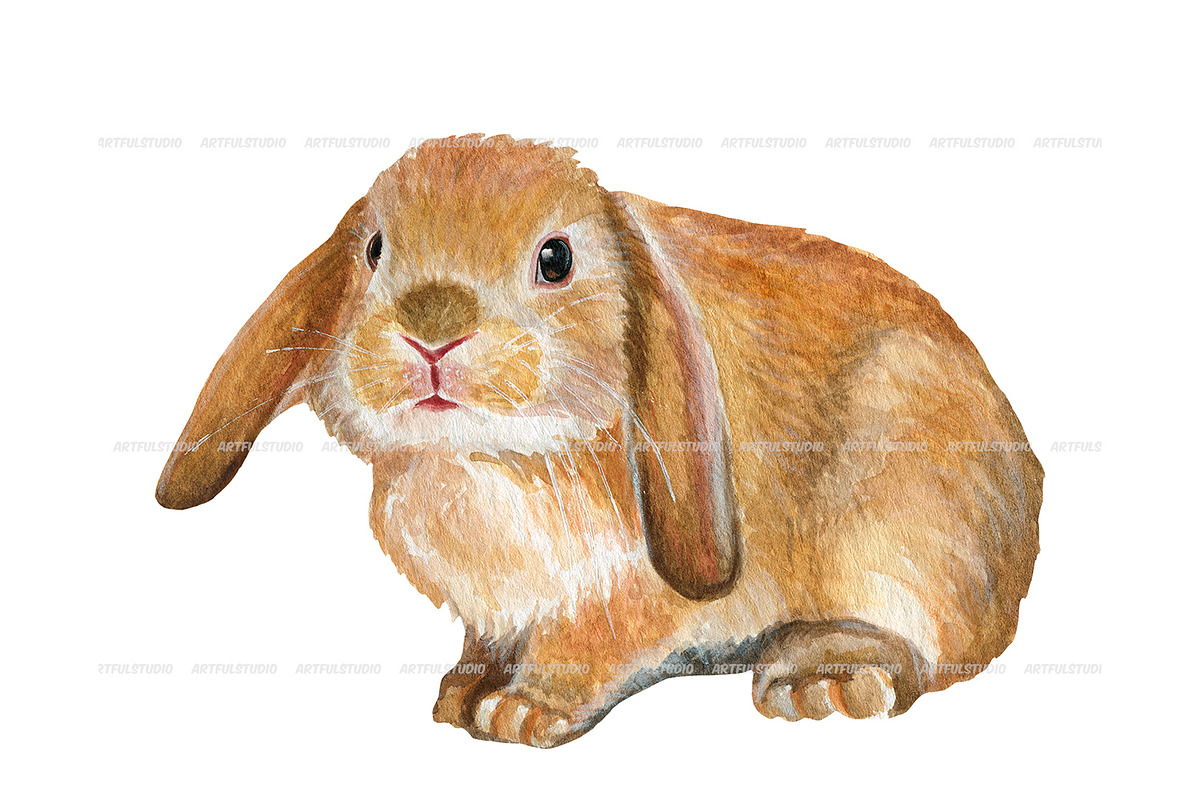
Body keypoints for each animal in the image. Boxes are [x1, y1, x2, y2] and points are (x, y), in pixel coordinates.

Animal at [157, 133, 1042, 747]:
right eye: (375, 251)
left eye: (556, 258)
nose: (432, 331)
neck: (491, 459)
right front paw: (459, 693)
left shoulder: (624, 590)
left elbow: (588, 640)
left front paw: (519, 711)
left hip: (906, 521)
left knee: (934, 646)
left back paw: (822, 679)